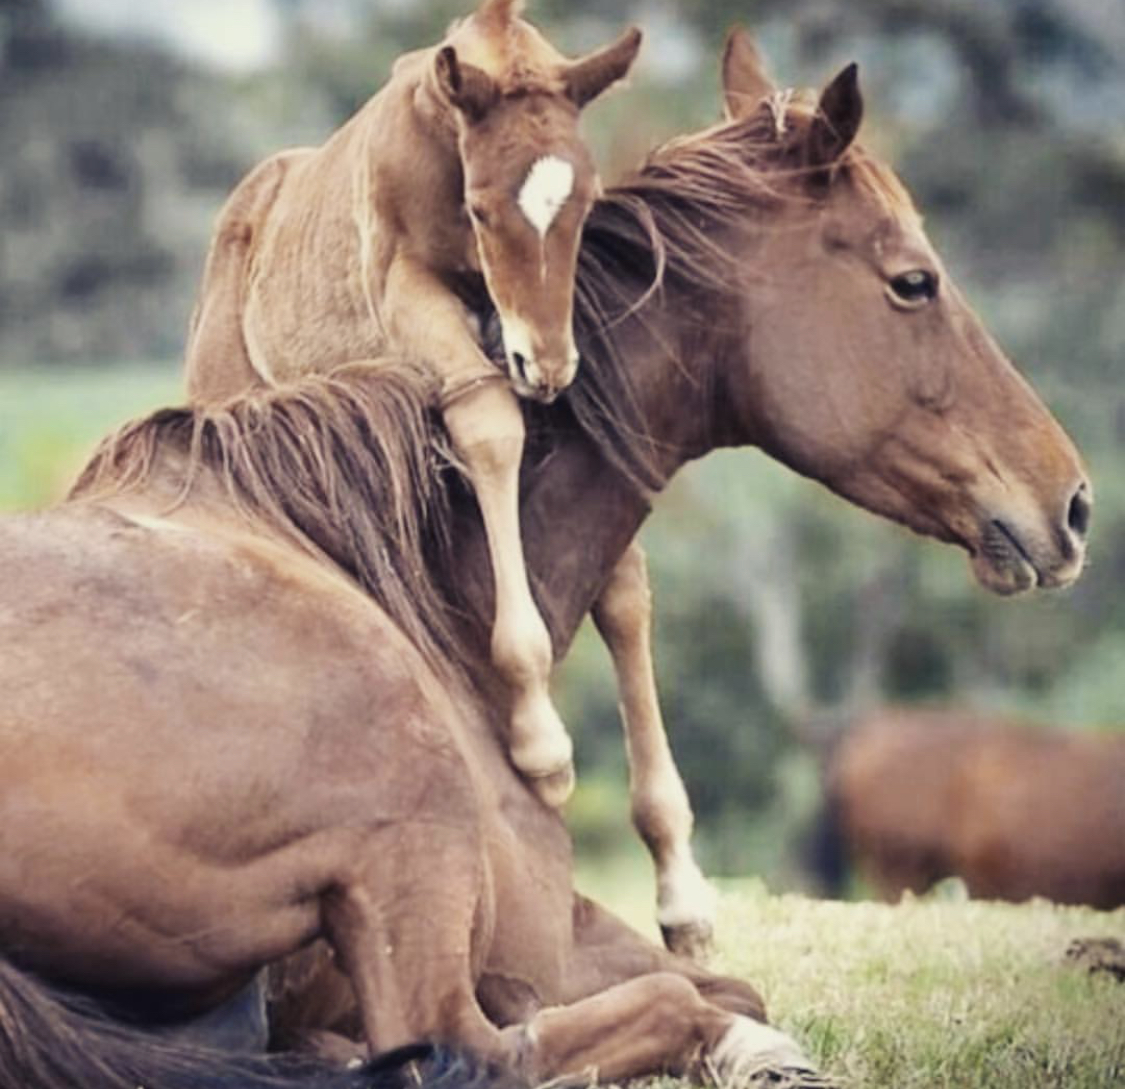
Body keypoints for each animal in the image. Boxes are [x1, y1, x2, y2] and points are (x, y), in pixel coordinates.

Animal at [0, 29, 1089, 1089]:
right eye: (913, 282)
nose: (1073, 503)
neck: (423, 591)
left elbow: (724, 978)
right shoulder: (521, 930)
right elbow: (691, 992)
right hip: (415, 838)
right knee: (474, 1047)